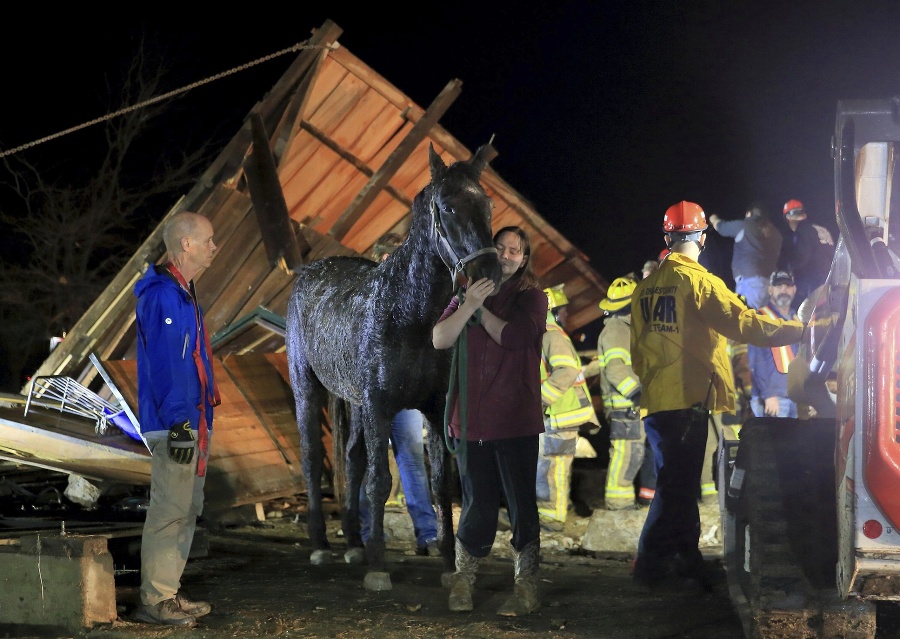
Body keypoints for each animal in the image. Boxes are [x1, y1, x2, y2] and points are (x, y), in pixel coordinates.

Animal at [286, 144, 502, 592]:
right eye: (446, 207)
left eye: (487, 204)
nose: (489, 274)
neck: (408, 315)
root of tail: (311, 272)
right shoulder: (379, 406)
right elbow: (379, 481)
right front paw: (378, 567)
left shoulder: (434, 409)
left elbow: (439, 485)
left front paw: (448, 564)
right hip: (307, 388)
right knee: (313, 458)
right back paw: (320, 545)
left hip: (351, 402)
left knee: (351, 461)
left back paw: (353, 543)